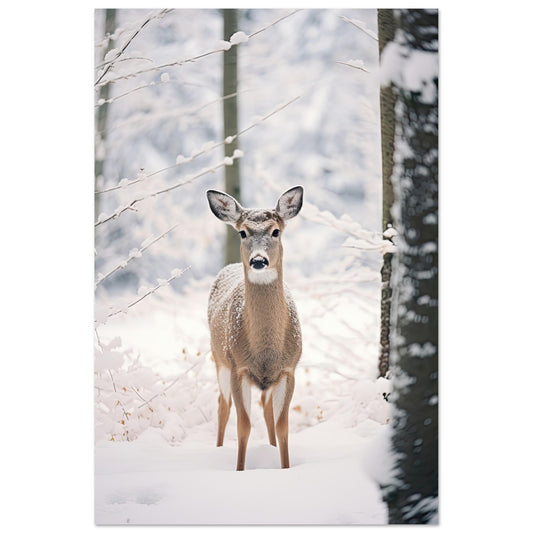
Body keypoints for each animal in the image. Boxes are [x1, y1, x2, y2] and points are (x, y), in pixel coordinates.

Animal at [205, 185, 304, 468]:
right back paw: (217, 449)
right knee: (223, 405)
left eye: (276, 231)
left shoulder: (288, 369)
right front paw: (240, 470)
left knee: (266, 409)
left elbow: (282, 427)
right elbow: (244, 427)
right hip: (219, 358)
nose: (258, 261)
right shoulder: (238, 367)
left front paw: (285, 468)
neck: (265, 350)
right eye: (242, 232)